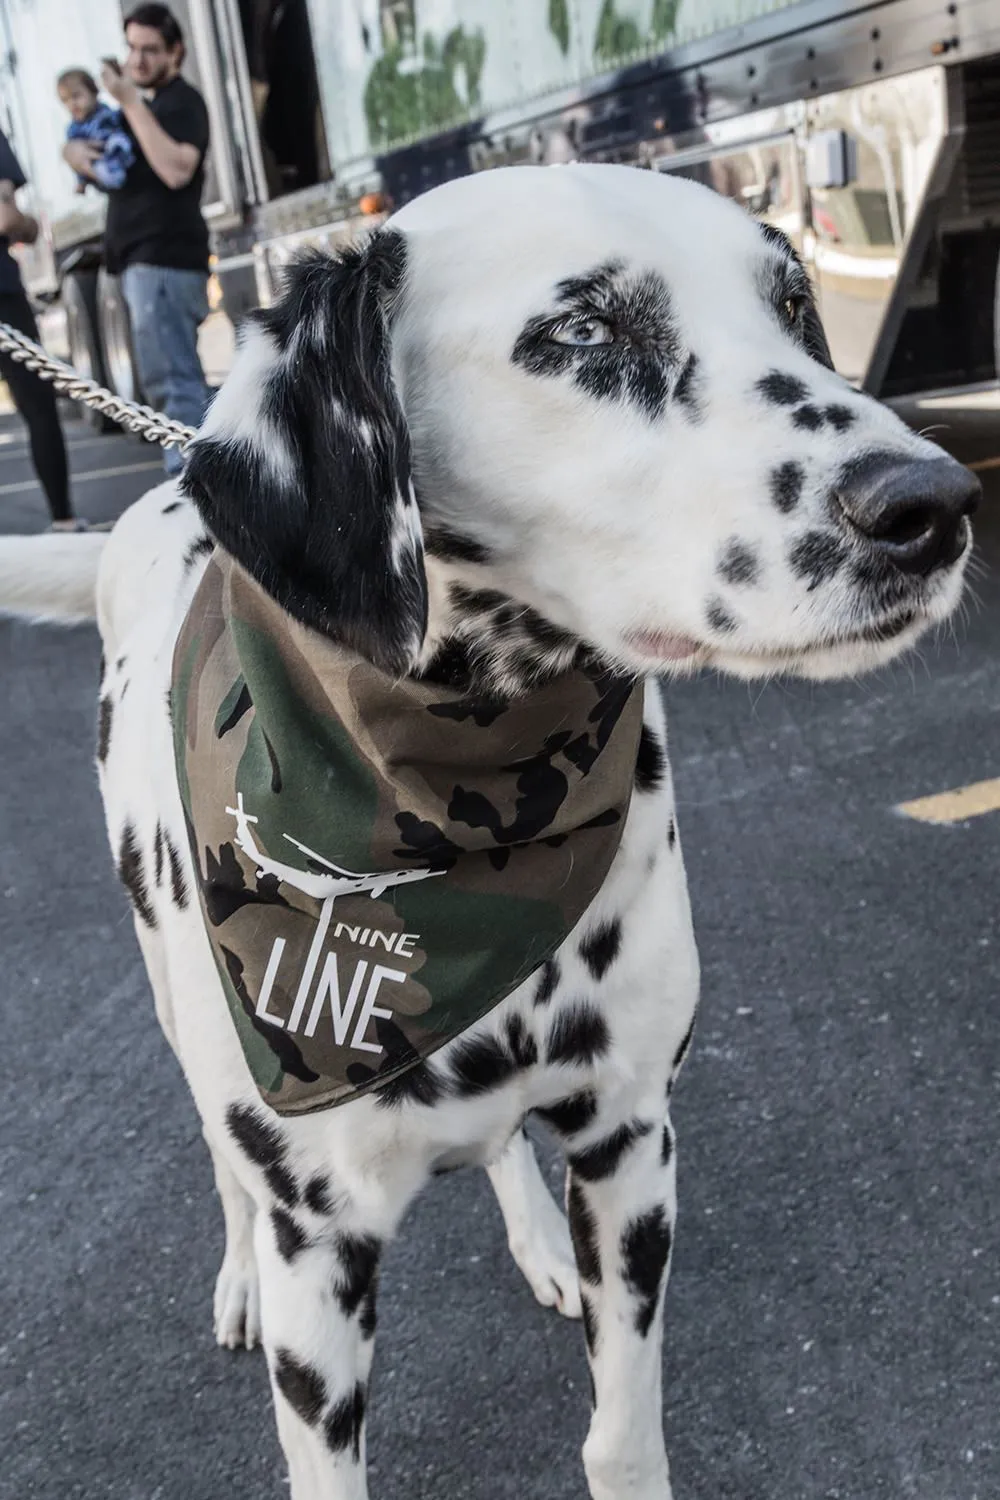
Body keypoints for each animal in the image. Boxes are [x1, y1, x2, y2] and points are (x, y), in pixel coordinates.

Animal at [0, 158, 983, 1494]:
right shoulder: (322, 1255)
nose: (933, 504)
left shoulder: (630, 1149)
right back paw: (235, 1273)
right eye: (584, 332)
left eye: (792, 302)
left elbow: (622, 1431)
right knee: (218, 1159)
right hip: (170, 993)